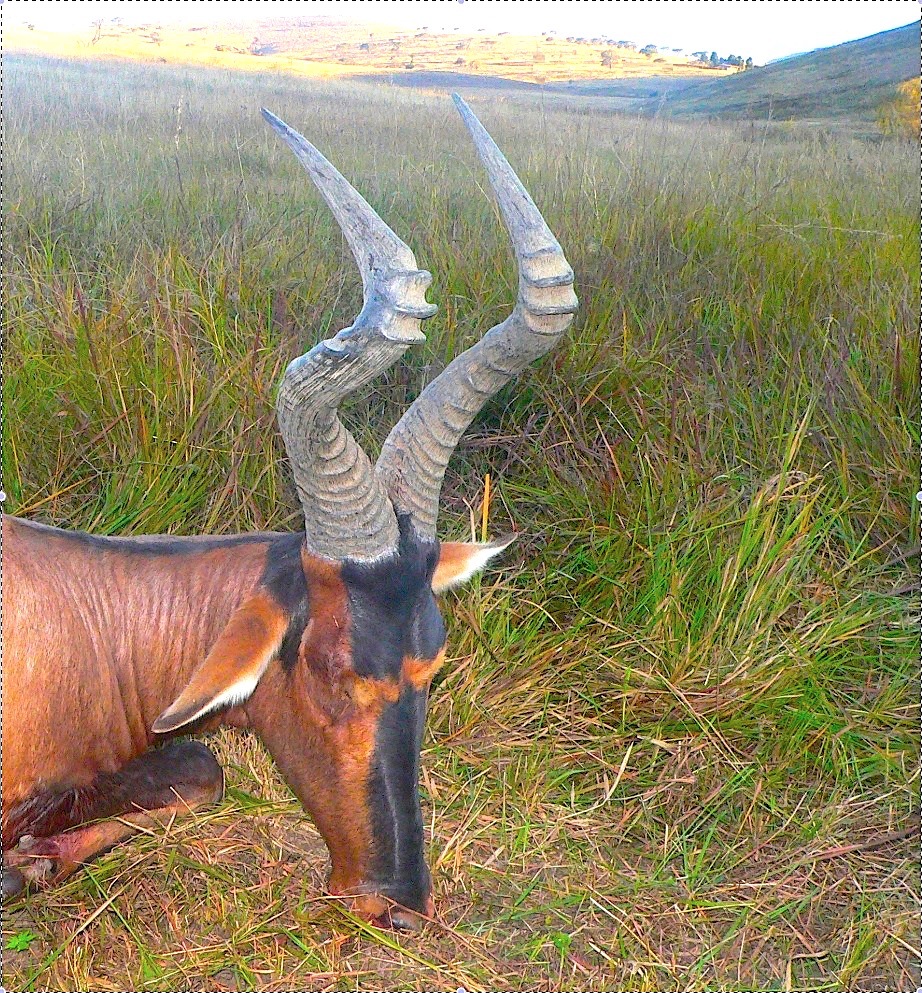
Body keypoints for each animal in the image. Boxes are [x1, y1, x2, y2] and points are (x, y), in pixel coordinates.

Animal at [1, 97, 576, 928]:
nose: (399, 904)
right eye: (331, 666)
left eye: (434, 662)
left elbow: (202, 768)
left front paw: (30, 859)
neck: (73, 605)